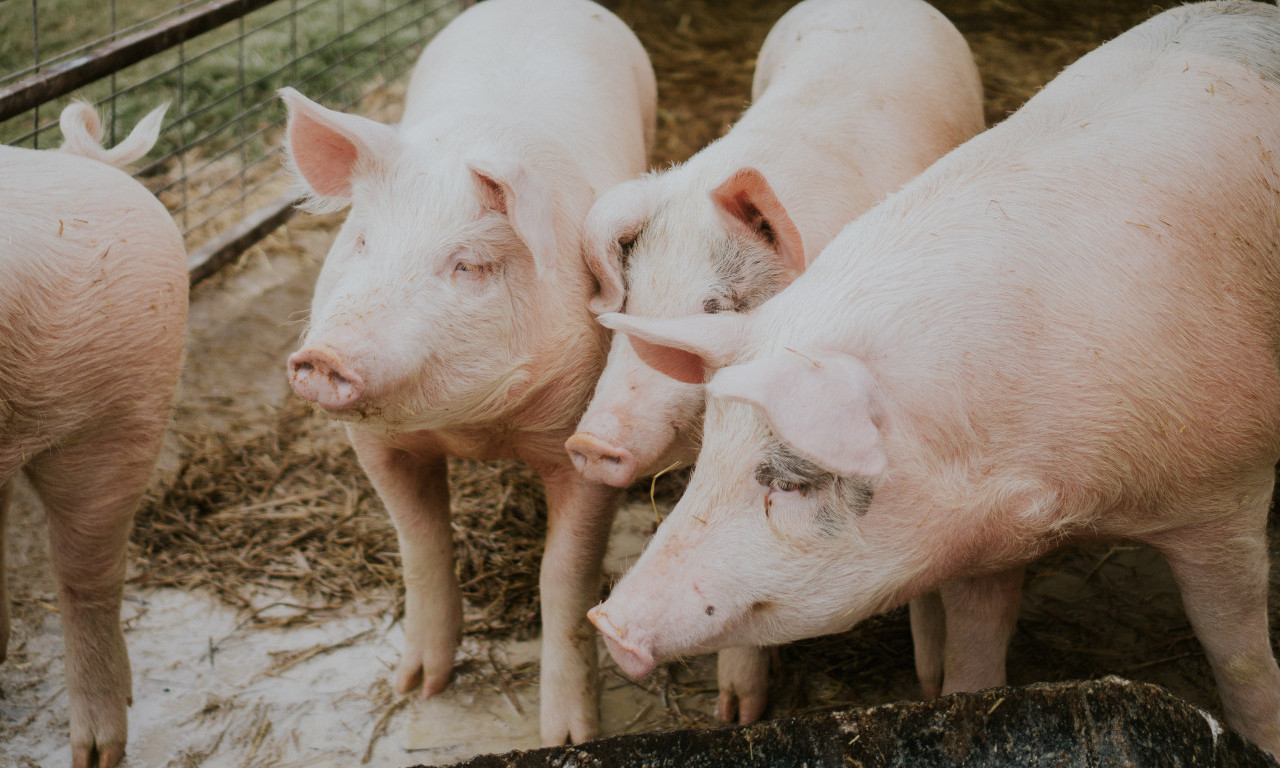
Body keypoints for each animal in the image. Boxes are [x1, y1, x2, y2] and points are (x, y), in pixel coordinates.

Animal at [277, 0, 650, 747]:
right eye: (361, 241)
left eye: (468, 265)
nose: (323, 357)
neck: (475, 429)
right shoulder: (377, 445)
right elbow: (419, 545)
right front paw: (418, 688)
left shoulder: (588, 440)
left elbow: (565, 577)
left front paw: (569, 738)